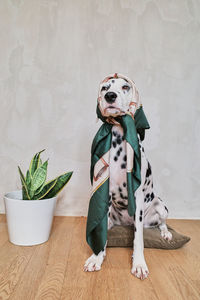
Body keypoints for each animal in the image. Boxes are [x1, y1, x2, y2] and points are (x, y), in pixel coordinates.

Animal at [83, 74, 173, 280]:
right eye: (105, 87)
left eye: (125, 86)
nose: (110, 96)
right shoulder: (105, 193)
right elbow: (101, 236)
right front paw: (97, 257)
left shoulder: (137, 198)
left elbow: (138, 238)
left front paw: (138, 263)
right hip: (112, 217)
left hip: (160, 205)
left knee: (160, 224)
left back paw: (165, 233)